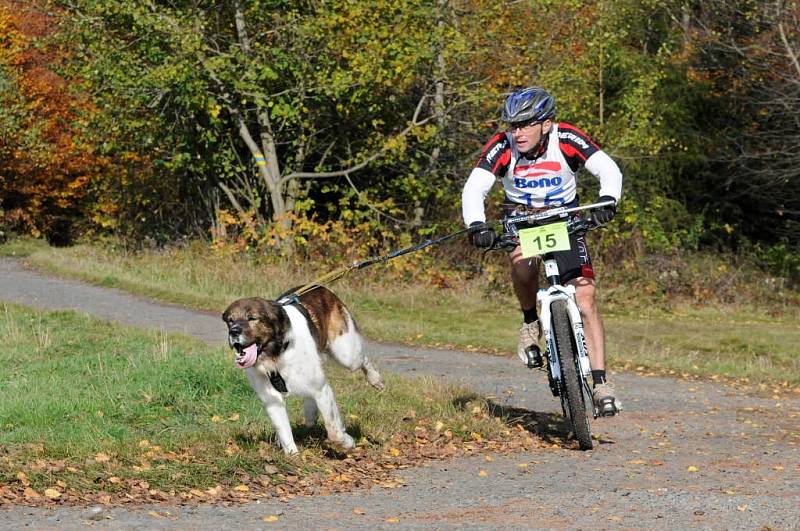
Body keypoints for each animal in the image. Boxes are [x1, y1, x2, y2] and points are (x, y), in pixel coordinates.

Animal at [222, 288, 384, 456]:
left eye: (252, 318)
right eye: (230, 320)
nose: (234, 331)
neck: (277, 354)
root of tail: (321, 288)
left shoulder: (321, 390)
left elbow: (333, 430)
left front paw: (347, 443)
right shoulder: (272, 400)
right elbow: (284, 431)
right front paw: (293, 456)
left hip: (347, 354)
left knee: (362, 359)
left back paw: (375, 379)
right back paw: (310, 413)